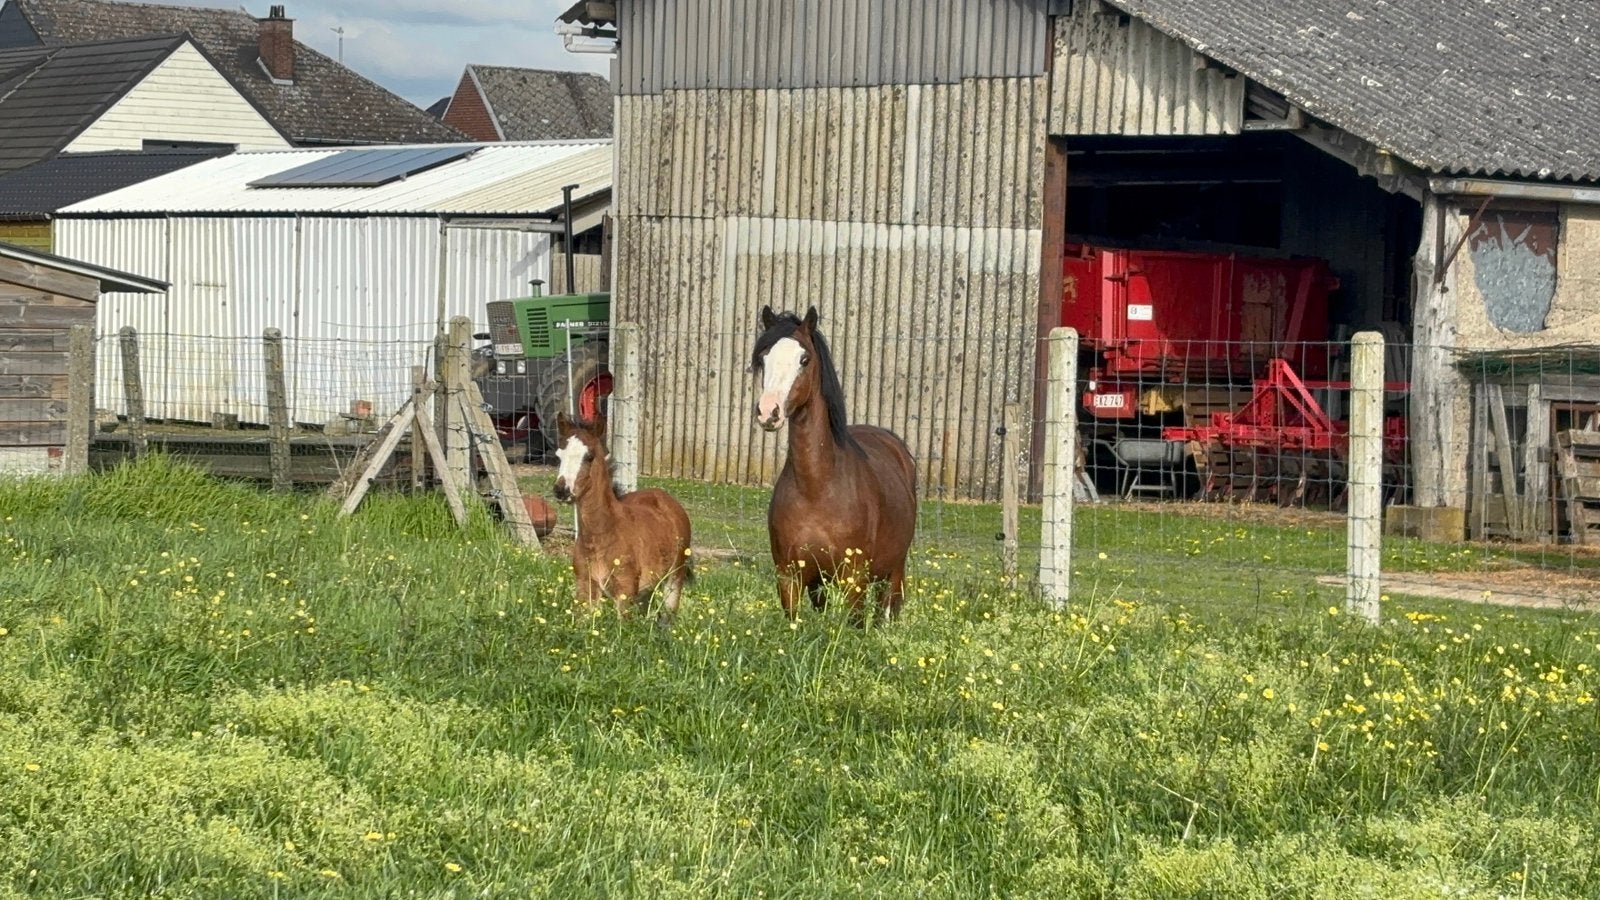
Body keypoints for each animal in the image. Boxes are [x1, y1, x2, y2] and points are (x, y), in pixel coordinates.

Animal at [552, 412, 692, 627]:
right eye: (559, 456)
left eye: (589, 456)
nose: (561, 490)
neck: (602, 535)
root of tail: (669, 500)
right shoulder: (585, 587)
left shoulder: (625, 592)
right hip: (646, 588)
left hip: (675, 577)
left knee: (668, 616)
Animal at [752, 305, 918, 625]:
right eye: (763, 357)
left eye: (804, 359)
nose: (768, 412)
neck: (817, 488)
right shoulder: (790, 580)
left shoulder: (854, 581)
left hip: (893, 573)